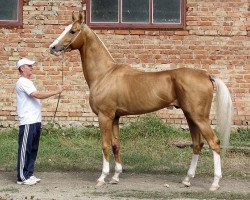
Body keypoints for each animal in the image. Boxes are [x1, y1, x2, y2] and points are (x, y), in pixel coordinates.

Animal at [49, 11, 233, 191]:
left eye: (72, 31)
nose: (52, 48)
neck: (104, 74)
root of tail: (206, 75)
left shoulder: (104, 116)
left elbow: (105, 145)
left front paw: (102, 178)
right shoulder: (115, 117)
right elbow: (116, 145)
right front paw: (115, 177)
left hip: (199, 117)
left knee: (214, 143)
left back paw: (215, 183)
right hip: (190, 116)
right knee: (197, 144)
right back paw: (187, 180)